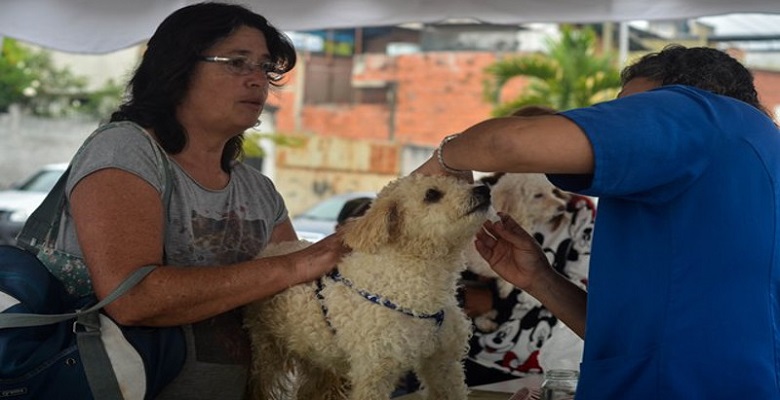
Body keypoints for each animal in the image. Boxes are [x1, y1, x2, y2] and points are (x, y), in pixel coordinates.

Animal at [244, 175, 490, 400]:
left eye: (460, 181)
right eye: (432, 194)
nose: (484, 189)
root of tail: (269, 250)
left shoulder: (444, 363)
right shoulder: (374, 371)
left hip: (317, 353)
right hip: (266, 350)